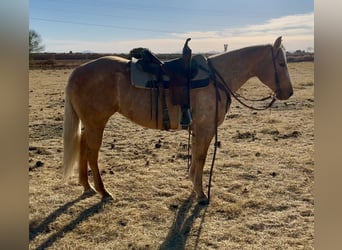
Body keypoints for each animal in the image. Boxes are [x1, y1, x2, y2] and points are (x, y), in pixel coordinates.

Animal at [62, 36, 292, 203]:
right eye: (281, 63)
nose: (288, 92)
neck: (216, 78)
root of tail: (77, 71)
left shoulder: (198, 129)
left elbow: (196, 156)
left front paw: (193, 185)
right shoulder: (206, 128)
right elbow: (201, 157)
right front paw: (201, 194)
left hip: (89, 124)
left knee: (82, 146)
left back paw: (86, 185)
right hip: (96, 123)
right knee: (92, 153)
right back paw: (103, 191)